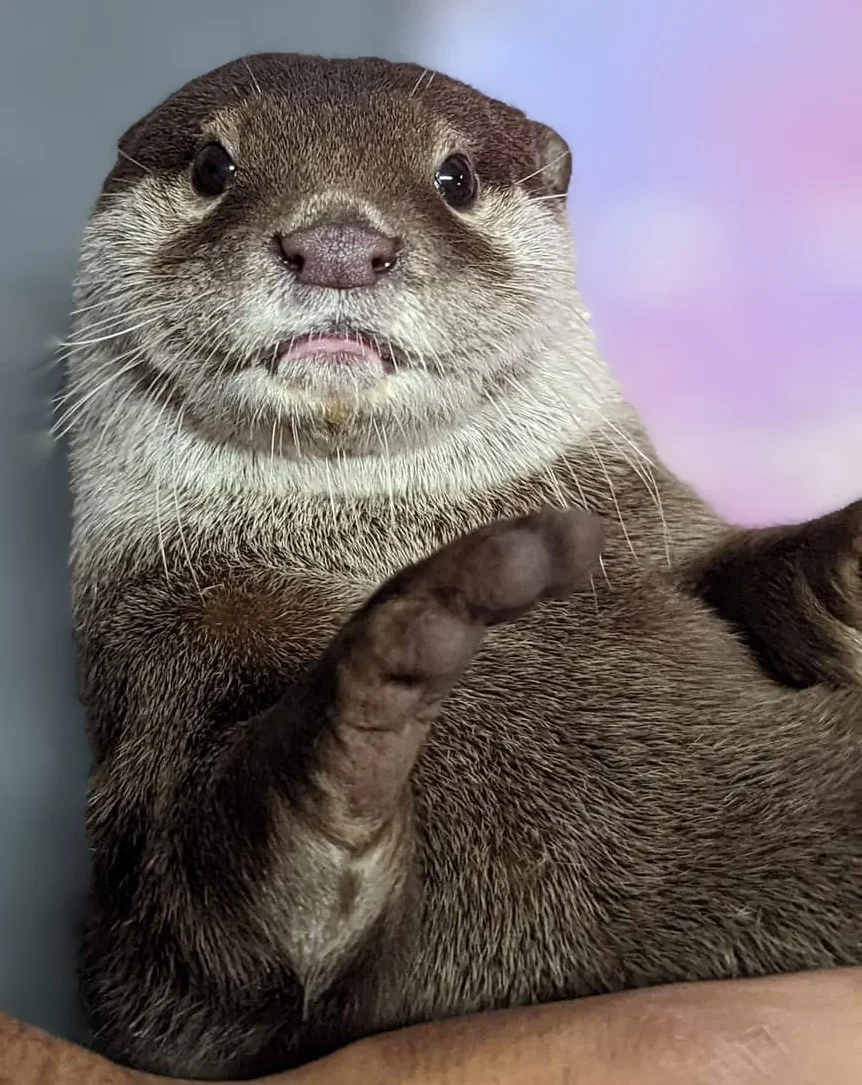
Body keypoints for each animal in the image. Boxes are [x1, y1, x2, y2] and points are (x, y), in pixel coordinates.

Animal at [61, 54, 862, 1080]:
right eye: (212, 166)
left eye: (456, 178)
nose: (338, 244)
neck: (377, 535)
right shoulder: (151, 670)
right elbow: (205, 931)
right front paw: (376, 681)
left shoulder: (659, 533)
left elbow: (743, 568)